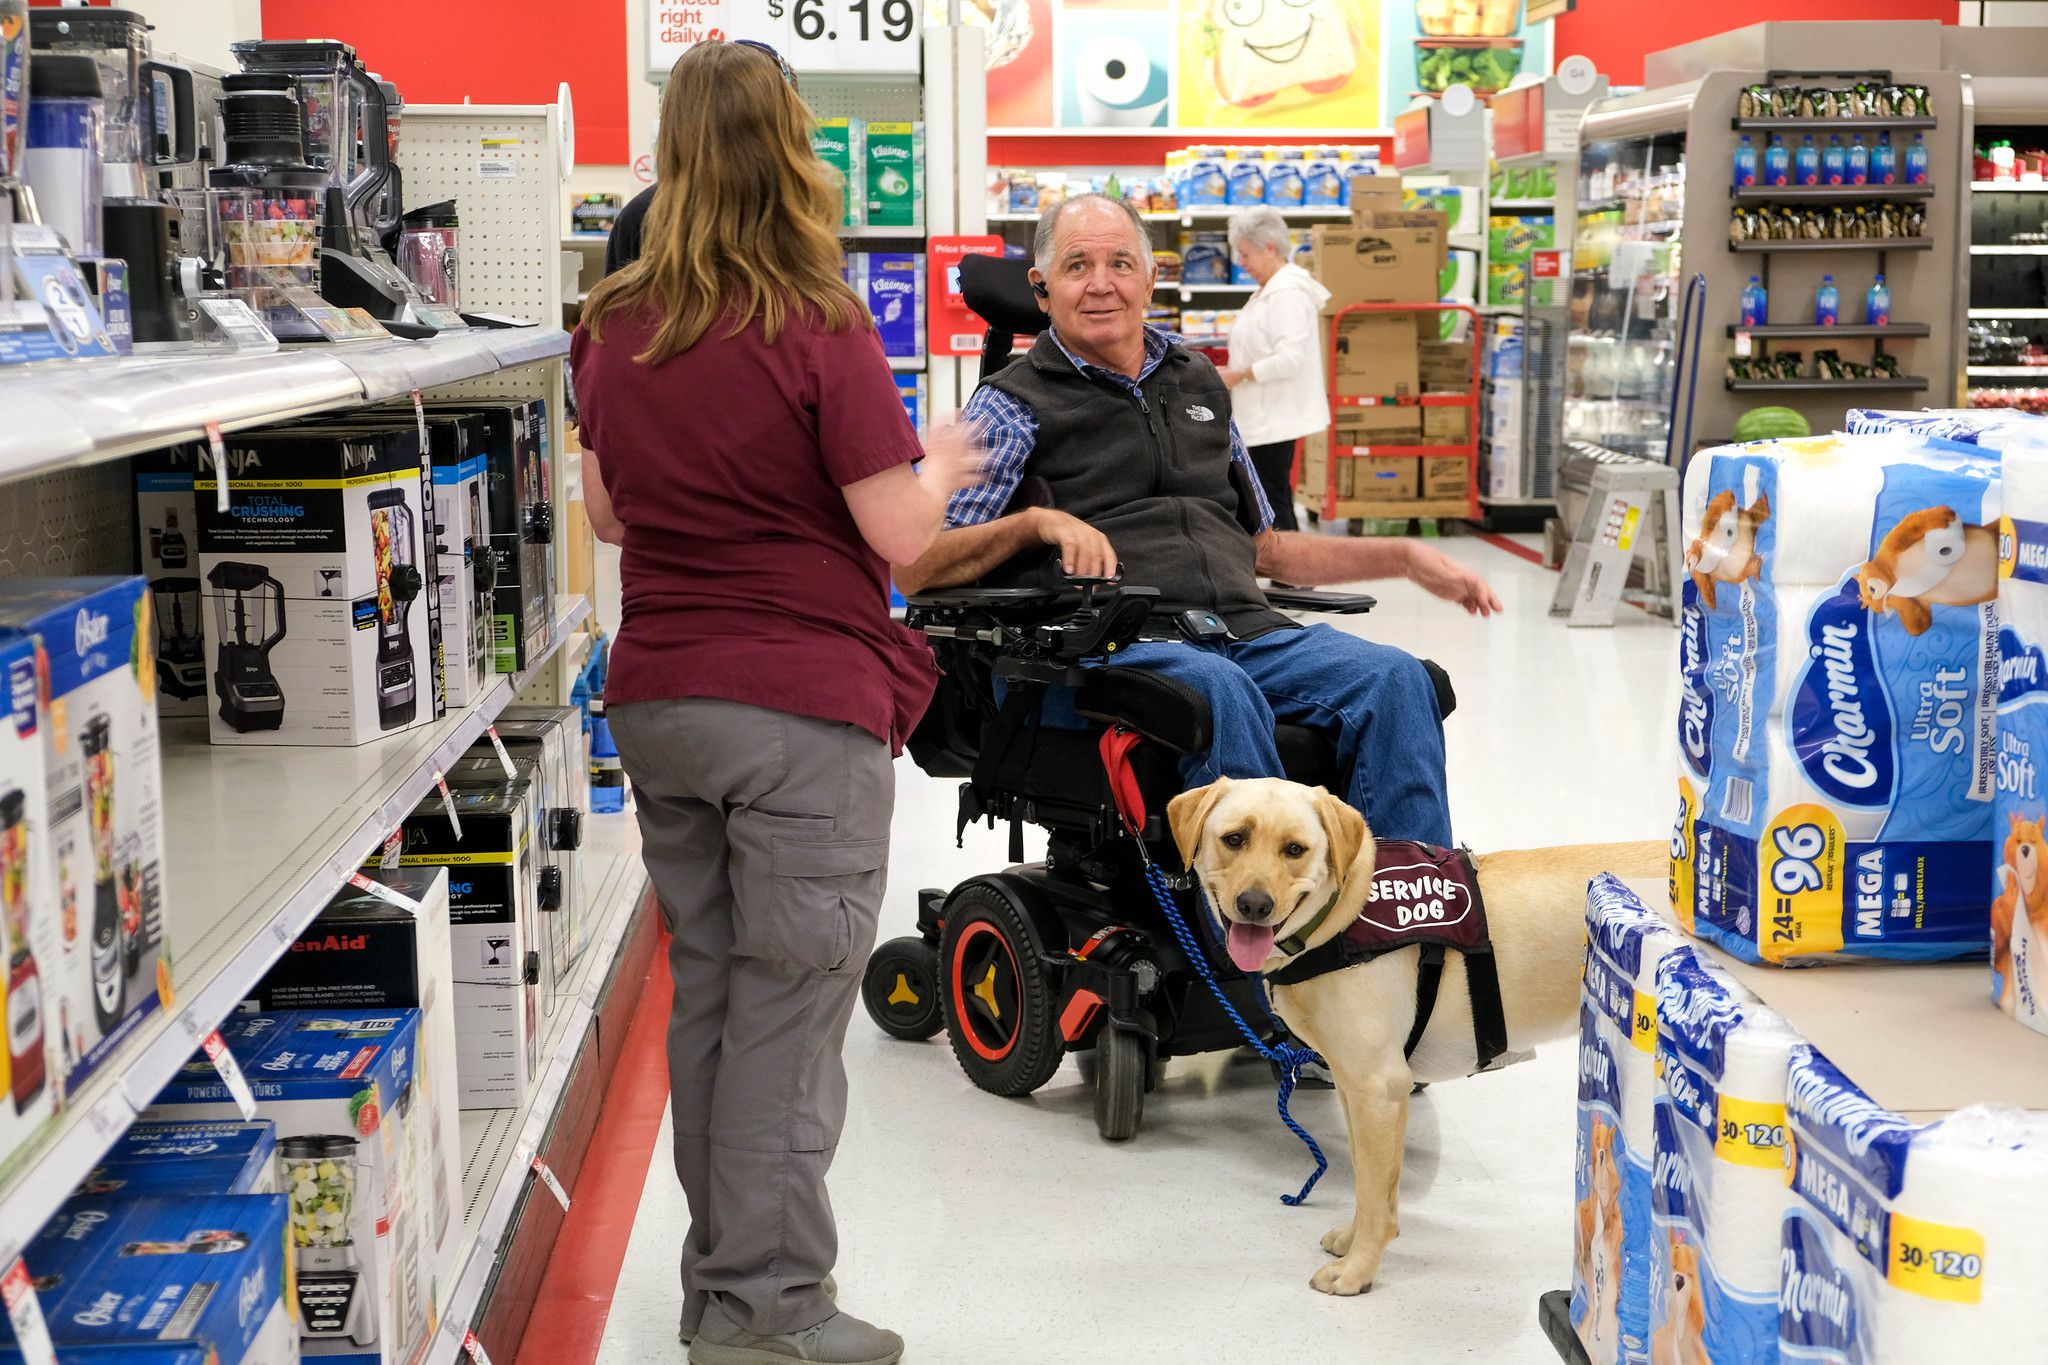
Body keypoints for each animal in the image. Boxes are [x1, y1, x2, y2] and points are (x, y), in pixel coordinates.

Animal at [1171, 777, 1662, 1301]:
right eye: (1235, 838)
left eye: (1295, 849)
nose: (1254, 904)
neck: (1341, 917)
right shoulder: (1354, 1086)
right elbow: (1370, 1183)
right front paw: (1354, 1242)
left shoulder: (1379, 1088)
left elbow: (1373, 1193)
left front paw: (1357, 1271)